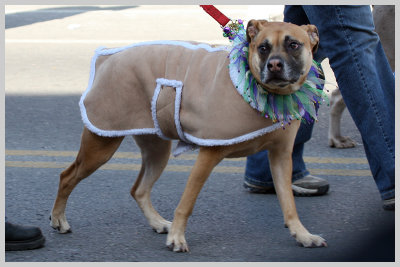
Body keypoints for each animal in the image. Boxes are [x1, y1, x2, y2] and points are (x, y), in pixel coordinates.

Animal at [50, 20, 326, 253]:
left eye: (293, 45)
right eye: (263, 47)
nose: (275, 65)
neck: (257, 87)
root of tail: (108, 56)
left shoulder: (281, 157)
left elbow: (288, 203)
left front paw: (302, 234)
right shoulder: (208, 157)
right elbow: (187, 202)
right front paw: (177, 237)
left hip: (156, 152)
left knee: (138, 189)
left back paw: (157, 222)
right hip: (100, 146)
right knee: (67, 177)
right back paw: (58, 219)